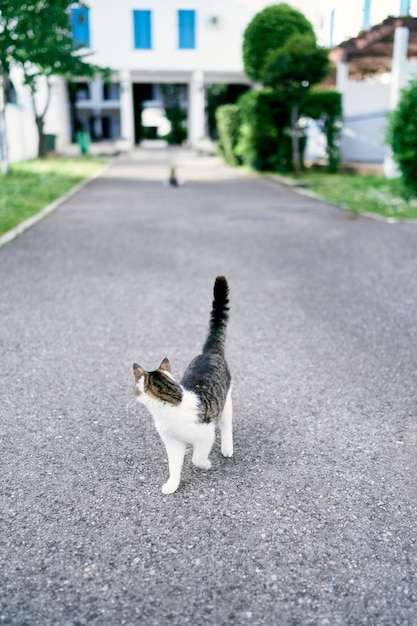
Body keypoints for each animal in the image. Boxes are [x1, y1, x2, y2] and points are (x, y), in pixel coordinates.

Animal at [132, 276, 232, 492]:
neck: (173, 403)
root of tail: (209, 353)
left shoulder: (206, 434)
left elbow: (197, 458)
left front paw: (206, 464)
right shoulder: (172, 443)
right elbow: (174, 465)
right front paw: (172, 484)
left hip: (226, 401)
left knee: (226, 425)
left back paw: (227, 448)